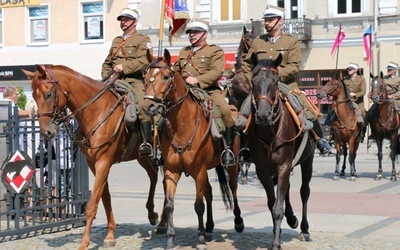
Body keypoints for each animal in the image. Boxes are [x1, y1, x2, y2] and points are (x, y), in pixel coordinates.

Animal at [23, 66, 159, 250]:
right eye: (34, 96)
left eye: (48, 94)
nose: (46, 132)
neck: (96, 111)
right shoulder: (95, 164)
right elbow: (105, 197)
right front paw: (110, 234)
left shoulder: (103, 162)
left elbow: (93, 202)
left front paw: (84, 242)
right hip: (141, 156)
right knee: (154, 175)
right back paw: (153, 215)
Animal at [144, 49, 244, 250]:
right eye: (145, 76)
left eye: (165, 76)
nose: (148, 105)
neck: (182, 125)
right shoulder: (171, 171)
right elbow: (169, 204)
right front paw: (170, 239)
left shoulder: (198, 170)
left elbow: (198, 205)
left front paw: (200, 240)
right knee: (210, 193)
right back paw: (209, 226)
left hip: (231, 165)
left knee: (233, 189)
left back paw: (237, 222)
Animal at [245, 53, 314, 249]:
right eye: (253, 81)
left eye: (275, 82)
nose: (263, 115)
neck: (269, 131)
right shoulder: (263, 170)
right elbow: (272, 203)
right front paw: (279, 231)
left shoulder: (284, 165)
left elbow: (277, 207)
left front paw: (276, 243)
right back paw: (291, 219)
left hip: (307, 160)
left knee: (304, 191)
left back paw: (304, 229)